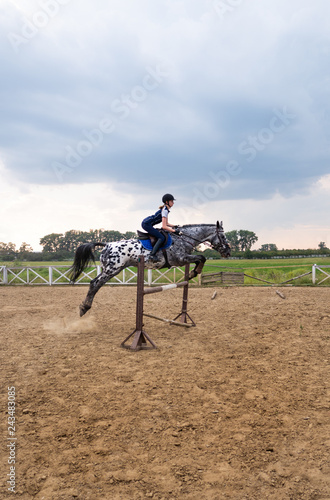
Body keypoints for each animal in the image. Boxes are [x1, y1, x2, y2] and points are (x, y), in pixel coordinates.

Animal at [69, 222, 229, 316]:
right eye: (222, 236)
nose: (228, 252)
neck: (183, 239)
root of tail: (106, 244)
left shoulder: (184, 259)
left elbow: (200, 258)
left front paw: (191, 274)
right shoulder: (180, 259)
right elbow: (201, 257)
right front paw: (193, 273)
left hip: (110, 270)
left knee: (94, 283)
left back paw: (84, 307)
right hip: (112, 270)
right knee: (95, 284)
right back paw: (85, 308)